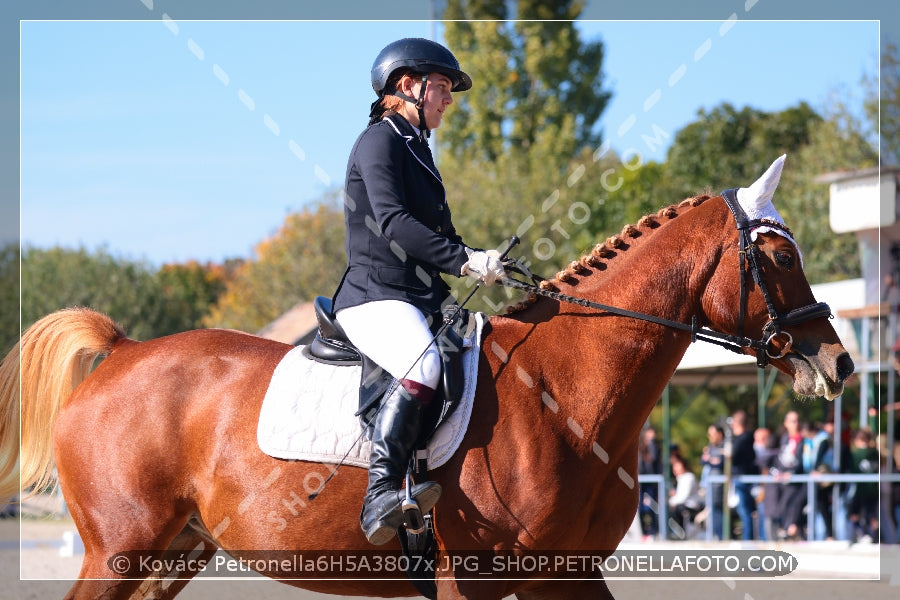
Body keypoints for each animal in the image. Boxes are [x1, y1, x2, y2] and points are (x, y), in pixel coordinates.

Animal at [3, 156, 856, 600]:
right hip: (121, 550)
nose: (840, 363)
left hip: (173, 551)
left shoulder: (566, 575)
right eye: (780, 255)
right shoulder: (464, 580)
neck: (565, 392)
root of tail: (124, 351)